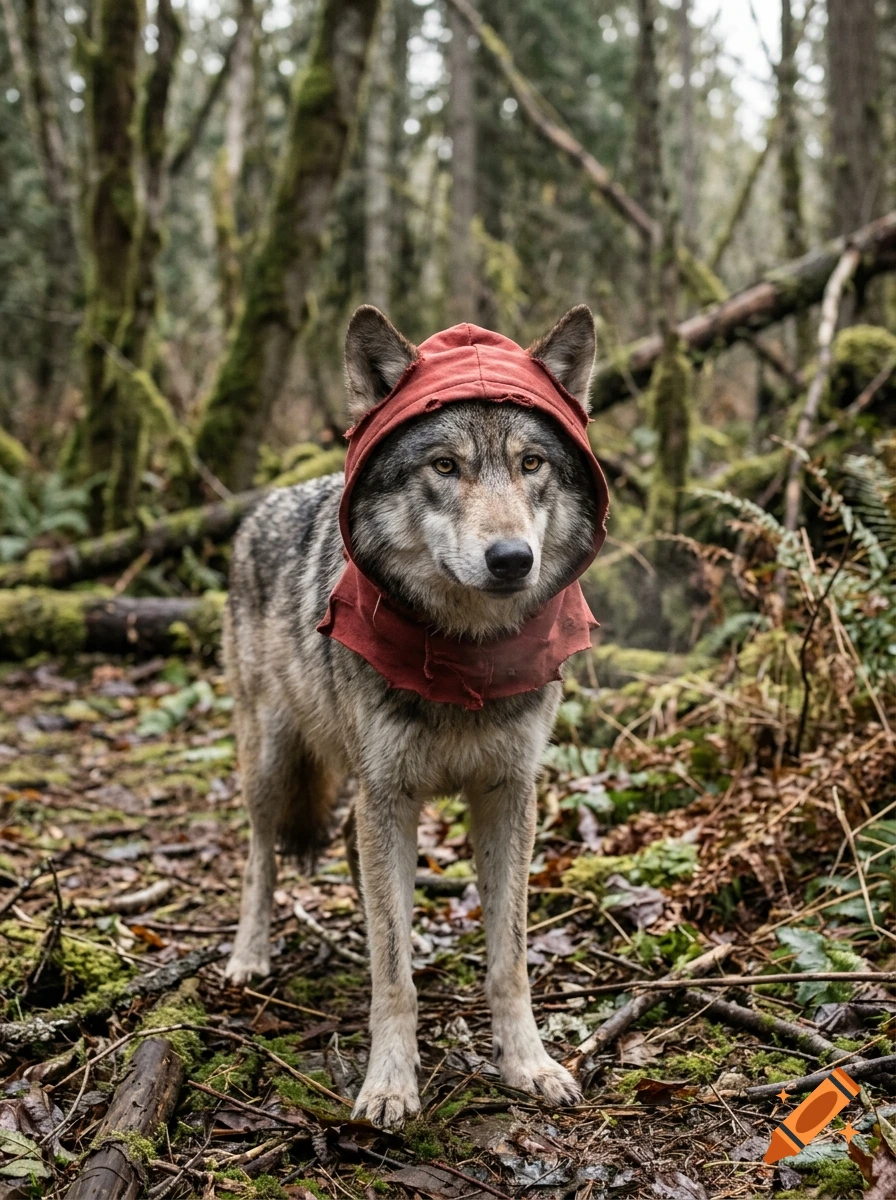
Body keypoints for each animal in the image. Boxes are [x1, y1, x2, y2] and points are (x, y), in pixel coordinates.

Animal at [224, 305, 602, 1127]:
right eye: (444, 467)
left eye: (532, 464)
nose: (511, 559)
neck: (466, 657)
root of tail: (265, 503)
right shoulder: (389, 796)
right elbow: (392, 975)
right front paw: (390, 1085)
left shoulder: (508, 796)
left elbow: (508, 960)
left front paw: (528, 1065)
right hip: (271, 767)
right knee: (261, 858)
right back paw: (247, 956)